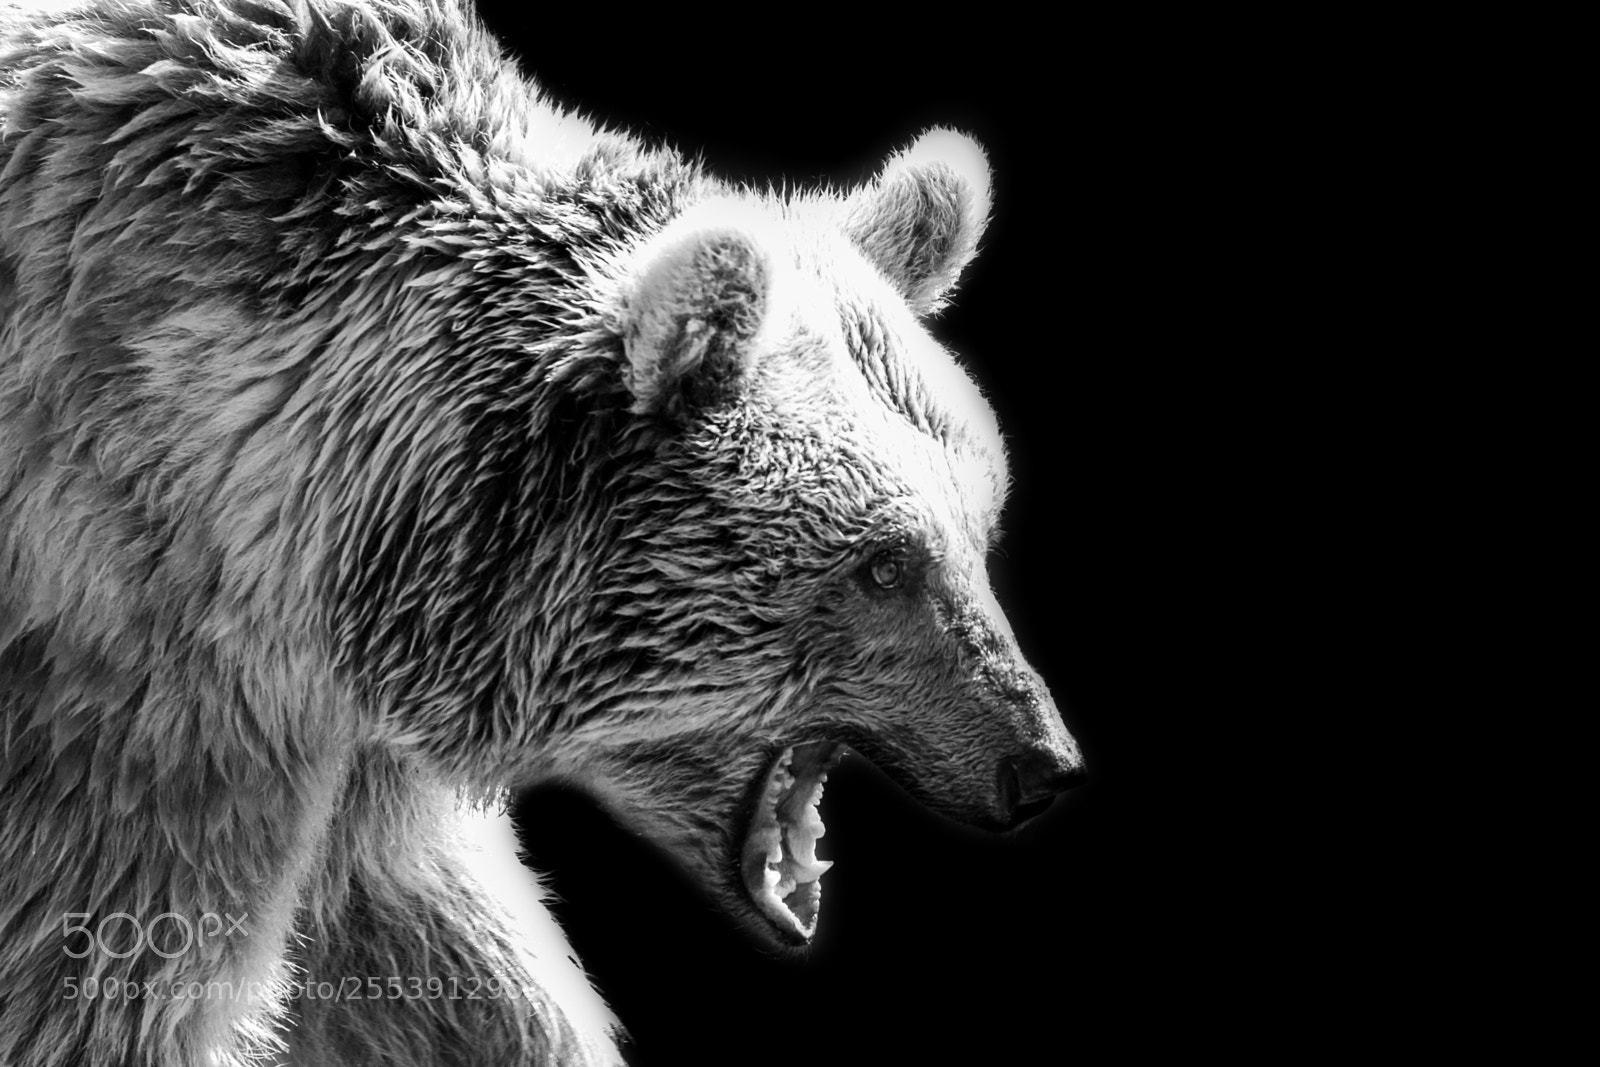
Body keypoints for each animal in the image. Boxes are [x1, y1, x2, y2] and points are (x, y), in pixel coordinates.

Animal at [0, 1, 1085, 1064]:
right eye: (883, 564)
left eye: (981, 522)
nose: (1039, 765)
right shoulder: (137, 693)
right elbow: (108, 980)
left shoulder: (353, 756)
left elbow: (453, 968)